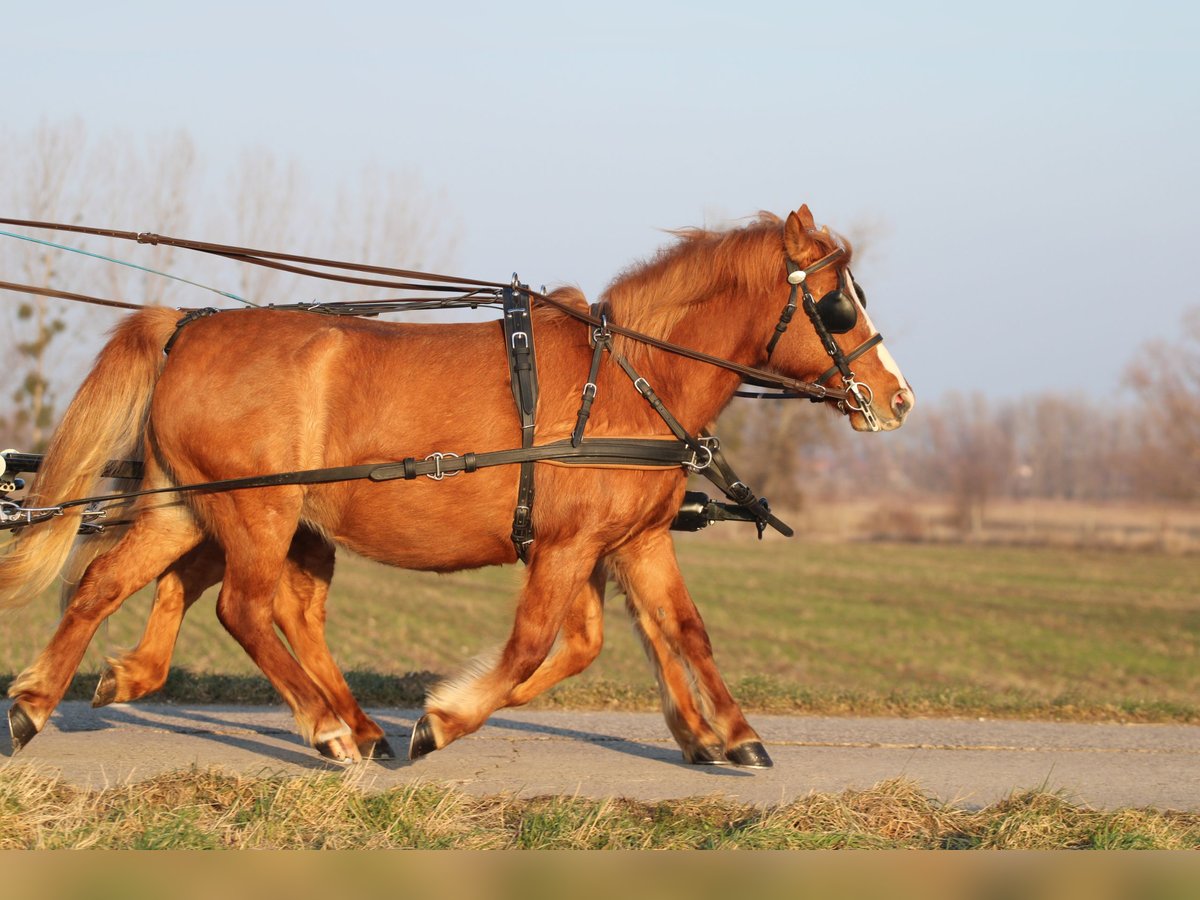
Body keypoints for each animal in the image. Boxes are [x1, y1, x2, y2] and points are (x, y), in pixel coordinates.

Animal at [0, 206, 912, 768]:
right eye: (837, 306)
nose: (896, 398)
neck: (627, 377)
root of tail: (187, 327)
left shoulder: (633, 542)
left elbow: (677, 631)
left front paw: (733, 734)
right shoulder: (566, 547)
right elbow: (541, 644)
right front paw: (441, 720)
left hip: (191, 505)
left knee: (107, 582)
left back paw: (40, 701)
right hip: (257, 511)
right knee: (245, 609)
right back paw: (331, 729)